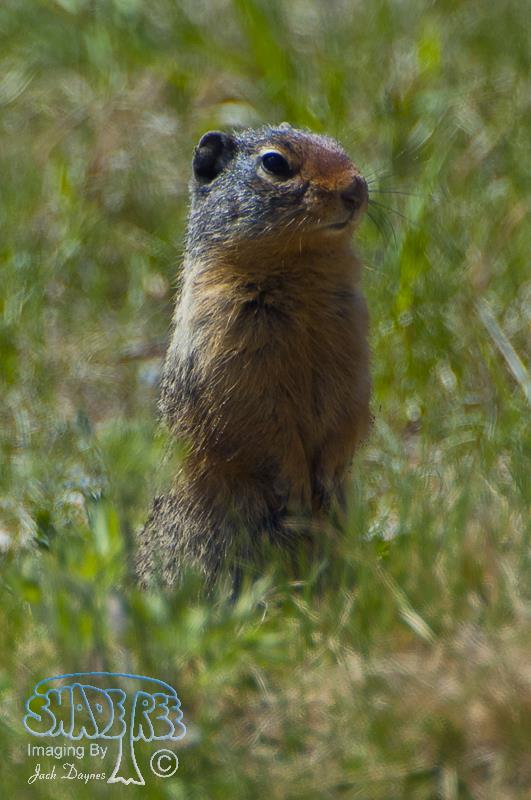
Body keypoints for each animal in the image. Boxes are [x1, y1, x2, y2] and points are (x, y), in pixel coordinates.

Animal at [136, 123, 371, 591]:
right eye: (275, 163)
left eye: (339, 147)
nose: (357, 188)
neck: (299, 269)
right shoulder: (229, 346)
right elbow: (257, 420)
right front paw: (296, 488)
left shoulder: (353, 338)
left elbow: (351, 407)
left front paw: (329, 473)